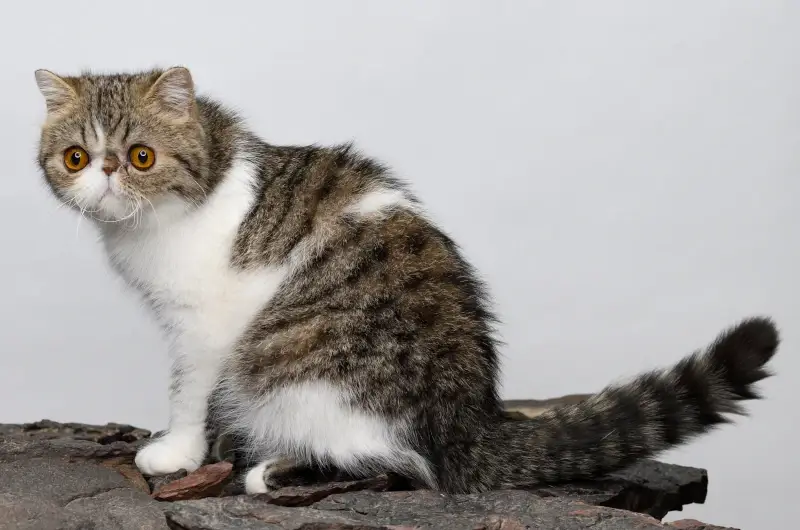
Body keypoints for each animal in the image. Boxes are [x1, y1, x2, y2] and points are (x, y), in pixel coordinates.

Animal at [34, 68, 780, 492]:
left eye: (139, 156)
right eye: (76, 157)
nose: (104, 176)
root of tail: (470, 419)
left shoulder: (205, 329)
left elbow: (188, 393)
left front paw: (177, 452)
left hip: (295, 376)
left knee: (405, 466)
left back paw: (274, 468)